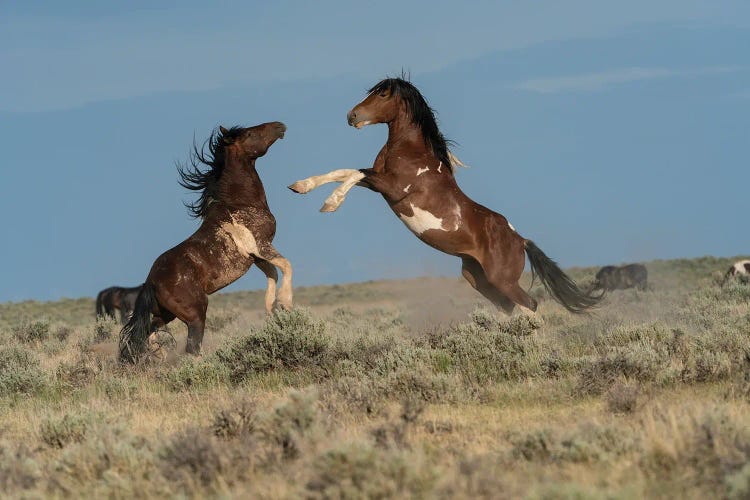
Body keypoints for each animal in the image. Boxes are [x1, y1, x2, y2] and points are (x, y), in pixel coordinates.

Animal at [119, 122, 292, 364]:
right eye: (249, 133)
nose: (279, 125)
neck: (241, 203)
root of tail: (150, 281)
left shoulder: (256, 257)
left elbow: (273, 274)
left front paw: (272, 308)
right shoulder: (261, 245)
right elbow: (286, 266)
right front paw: (286, 303)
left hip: (165, 314)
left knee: (149, 332)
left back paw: (161, 356)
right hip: (196, 315)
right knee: (191, 348)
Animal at [290, 76, 604, 314]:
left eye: (382, 94)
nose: (351, 116)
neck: (412, 152)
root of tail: (520, 239)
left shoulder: (392, 187)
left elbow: (353, 174)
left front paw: (330, 204)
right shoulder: (378, 181)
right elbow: (343, 171)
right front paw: (300, 186)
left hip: (502, 280)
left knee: (531, 305)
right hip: (479, 280)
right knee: (510, 308)